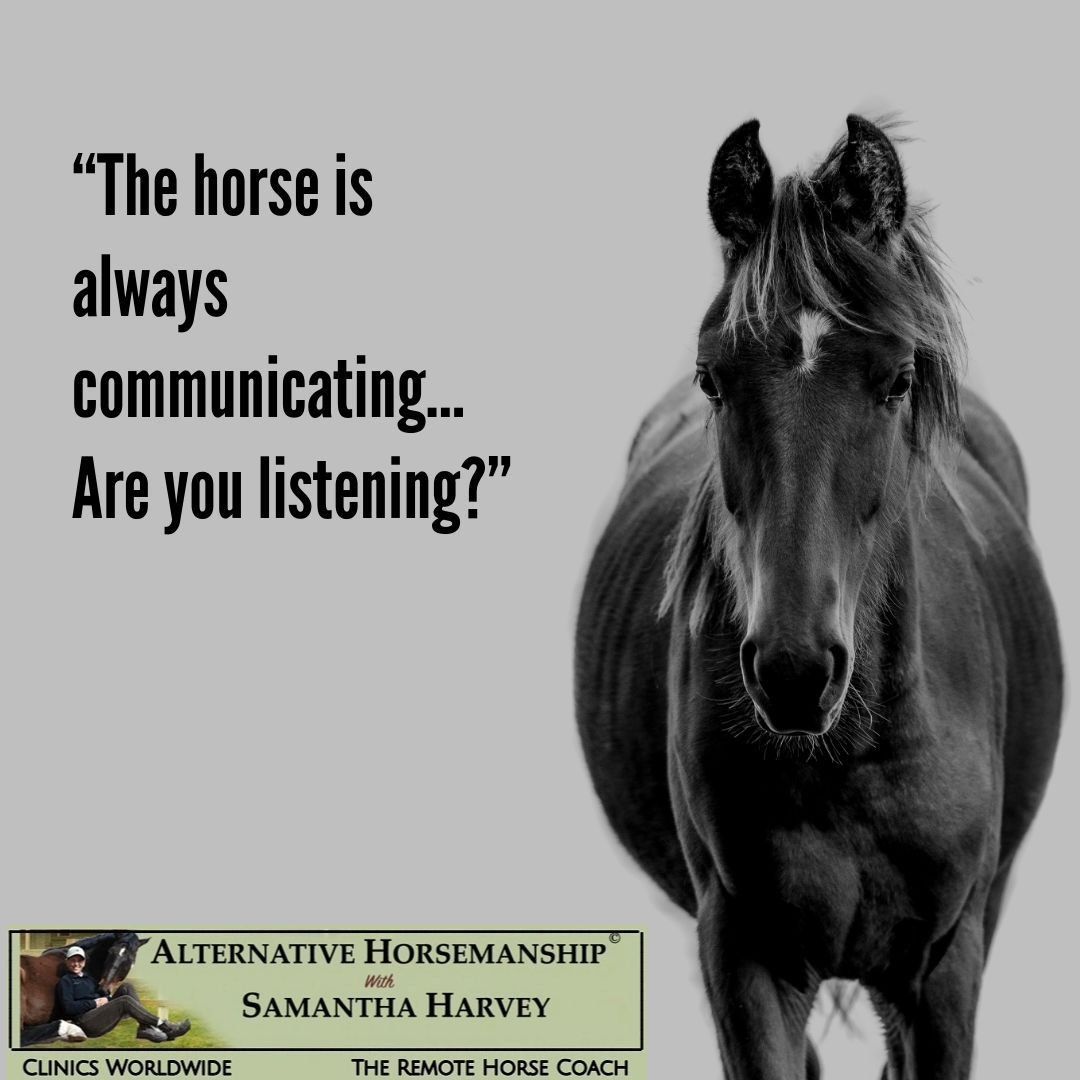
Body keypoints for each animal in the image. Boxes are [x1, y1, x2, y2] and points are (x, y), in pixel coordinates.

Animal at [574, 115, 1062, 1079]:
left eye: (898, 379)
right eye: (714, 377)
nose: (795, 670)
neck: (851, 761)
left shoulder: (944, 970)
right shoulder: (746, 962)